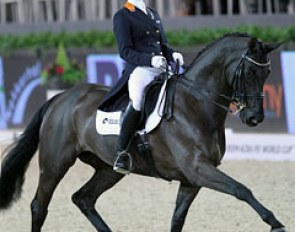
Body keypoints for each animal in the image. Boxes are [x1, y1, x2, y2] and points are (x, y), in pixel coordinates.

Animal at [0, 33, 286, 232]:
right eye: (250, 72)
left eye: (268, 72)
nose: (254, 118)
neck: (195, 104)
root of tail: (60, 98)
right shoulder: (197, 169)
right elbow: (241, 189)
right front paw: (275, 223)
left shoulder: (192, 179)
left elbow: (177, 219)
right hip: (55, 163)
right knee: (40, 205)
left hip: (108, 169)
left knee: (83, 198)